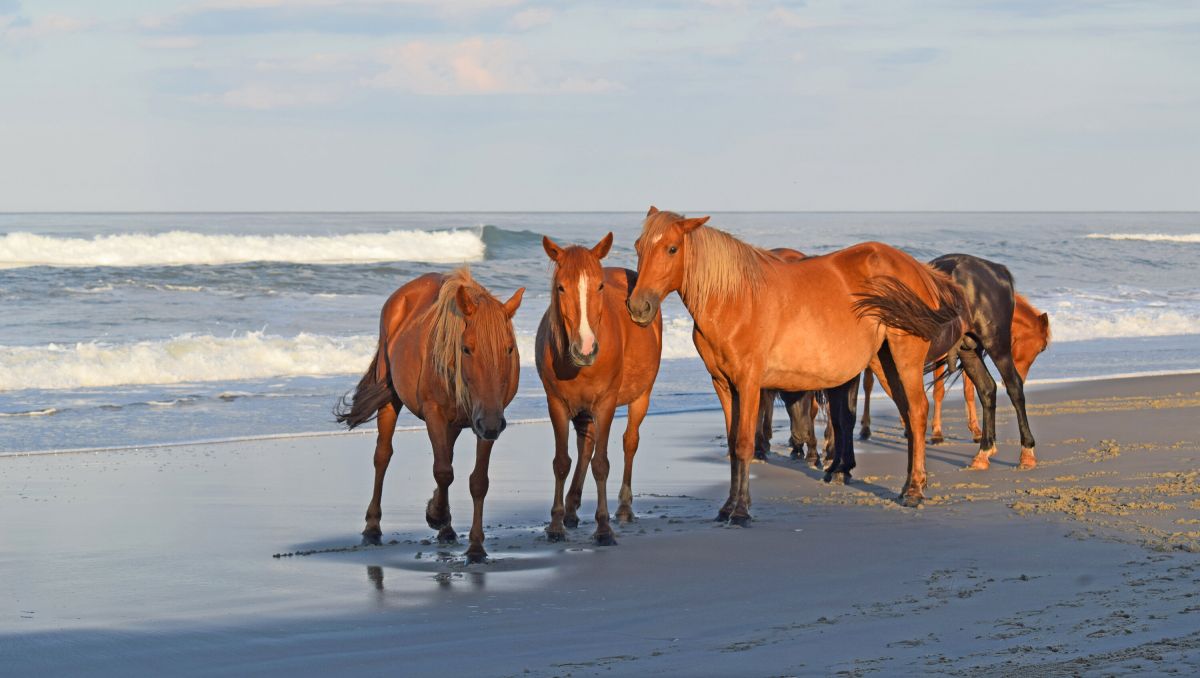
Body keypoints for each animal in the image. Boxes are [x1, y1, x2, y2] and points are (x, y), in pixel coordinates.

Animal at [338, 267, 525, 564]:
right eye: (467, 348)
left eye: (509, 348)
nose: (492, 424)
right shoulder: (436, 413)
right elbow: (443, 472)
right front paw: (436, 515)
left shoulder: (486, 420)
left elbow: (478, 481)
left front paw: (475, 546)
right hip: (391, 399)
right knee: (383, 456)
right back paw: (373, 527)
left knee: (446, 454)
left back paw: (446, 529)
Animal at [537, 232, 667, 544]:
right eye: (561, 287)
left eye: (599, 286)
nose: (585, 349)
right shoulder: (556, 404)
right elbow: (562, 462)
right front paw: (556, 524)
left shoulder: (606, 404)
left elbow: (601, 464)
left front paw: (604, 527)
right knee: (585, 446)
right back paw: (572, 510)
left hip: (641, 396)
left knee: (630, 442)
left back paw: (624, 508)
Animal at [624, 207, 969, 518]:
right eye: (638, 246)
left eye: (672, 248)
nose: (638, 307)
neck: (733, 299)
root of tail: (919, 269)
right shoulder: (723, 384)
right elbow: (734, 443)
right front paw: (727, 507)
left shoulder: (749, 383)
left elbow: (744, 443)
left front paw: (741, 510)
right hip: (885, 363)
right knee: (909, 416)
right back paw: (908, 486)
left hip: (905, 358)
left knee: (918, 412)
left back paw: (915, 492)